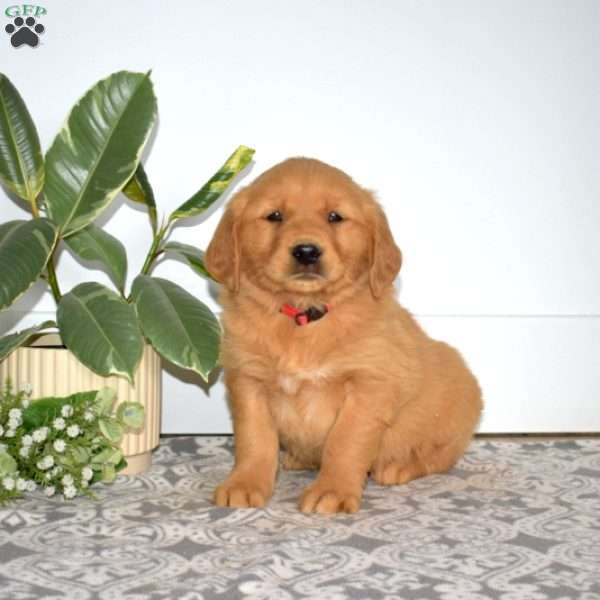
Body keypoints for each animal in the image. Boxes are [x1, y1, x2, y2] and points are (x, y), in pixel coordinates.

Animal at [206, 159, 482, 516]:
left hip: (456, 405)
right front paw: (245, 483)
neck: (304, 317)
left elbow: (345, 441)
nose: (306, 251)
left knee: (441, 456)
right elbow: (254, 439)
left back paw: (399, 466)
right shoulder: (247, 379)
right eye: (274, 216)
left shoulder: (369, 385)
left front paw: (332, 490)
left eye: (334, 217)